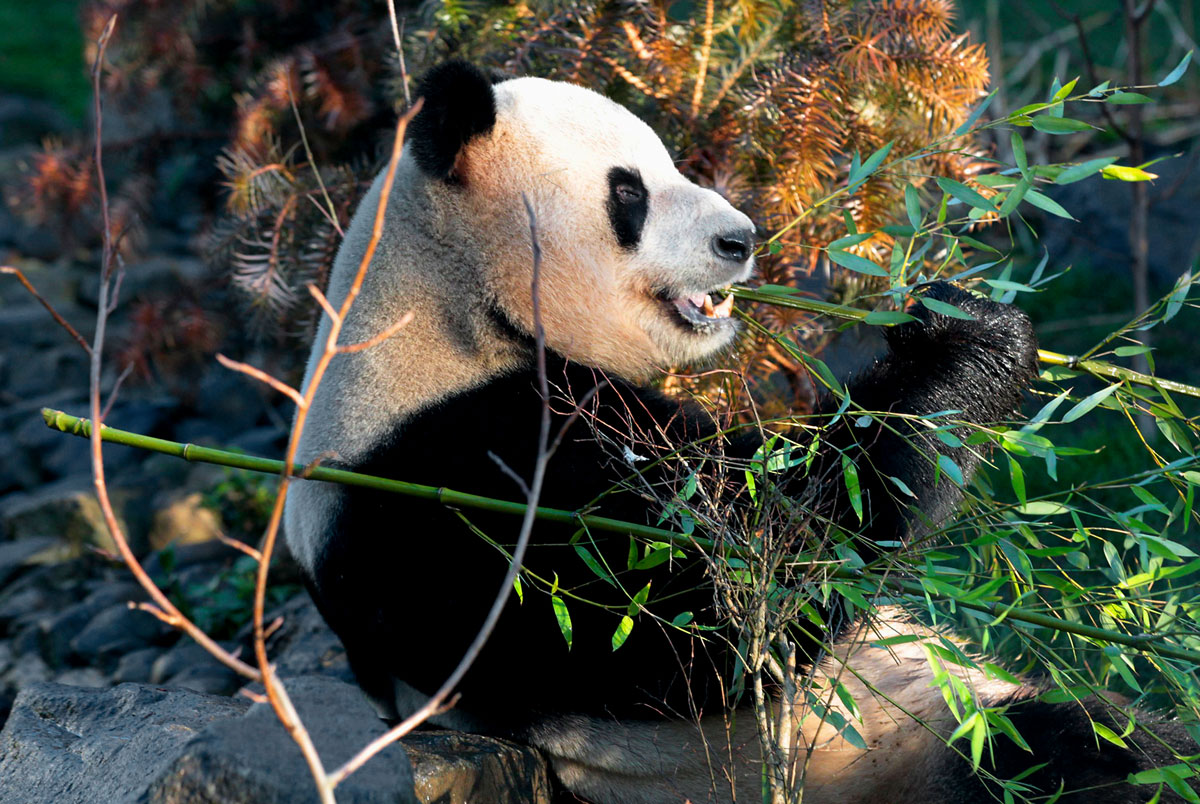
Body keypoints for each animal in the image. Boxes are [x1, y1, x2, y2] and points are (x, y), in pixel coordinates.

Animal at [285, 60, 1195, 801]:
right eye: (629, 193)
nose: (740, 240)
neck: (448, 308)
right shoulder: (449, 482)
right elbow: (726, 595)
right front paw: (964, 343)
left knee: (1116, 740)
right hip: (885, 761)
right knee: (1051, 761)